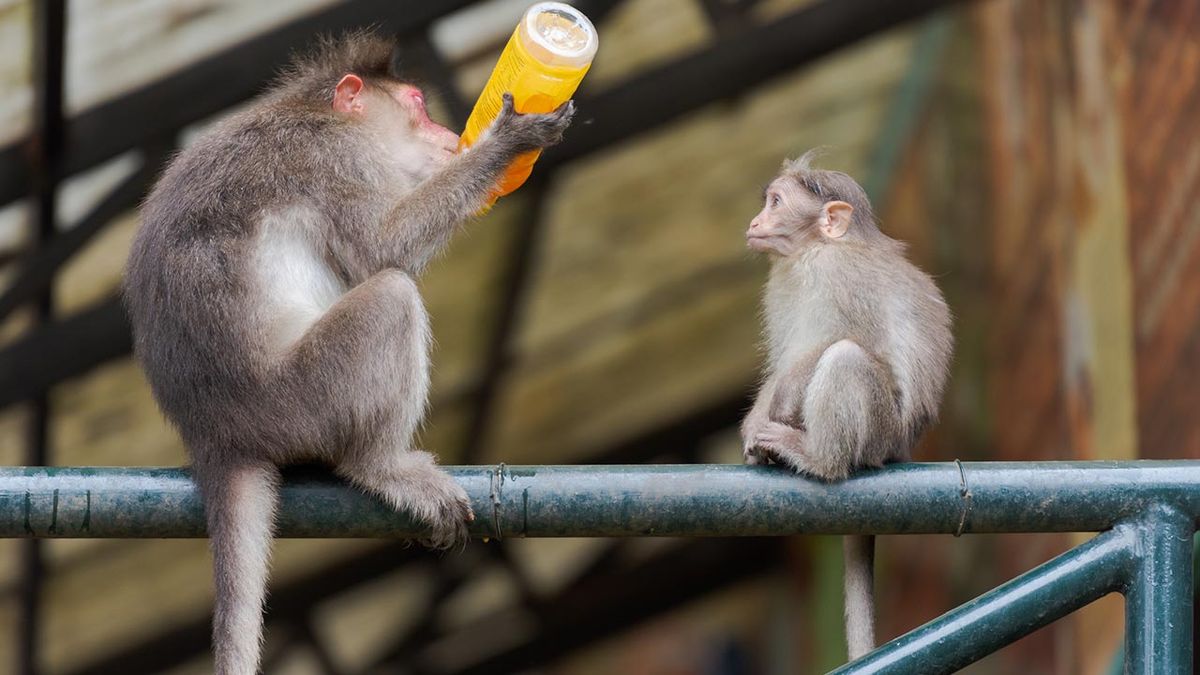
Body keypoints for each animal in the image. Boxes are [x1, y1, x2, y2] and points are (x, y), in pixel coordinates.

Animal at [122, 33, 575, 675]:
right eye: (418, 105)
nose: (447, 136)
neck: (319, 112)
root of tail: (215, 436)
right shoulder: (332, 154)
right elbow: (382, 247)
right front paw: (508, 143)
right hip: (303, 399)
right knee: (391, 296)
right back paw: (379, 465)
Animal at [739, 151, 952, 661]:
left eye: (777, 203)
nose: (755, 221)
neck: (813, 250)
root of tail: (900, 450)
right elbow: (785, 358)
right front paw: (754, 424)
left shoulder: (839, 276)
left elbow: (845, 343)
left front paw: (775, 414)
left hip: (879, 431)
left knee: (846, 358)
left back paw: (818, 458)